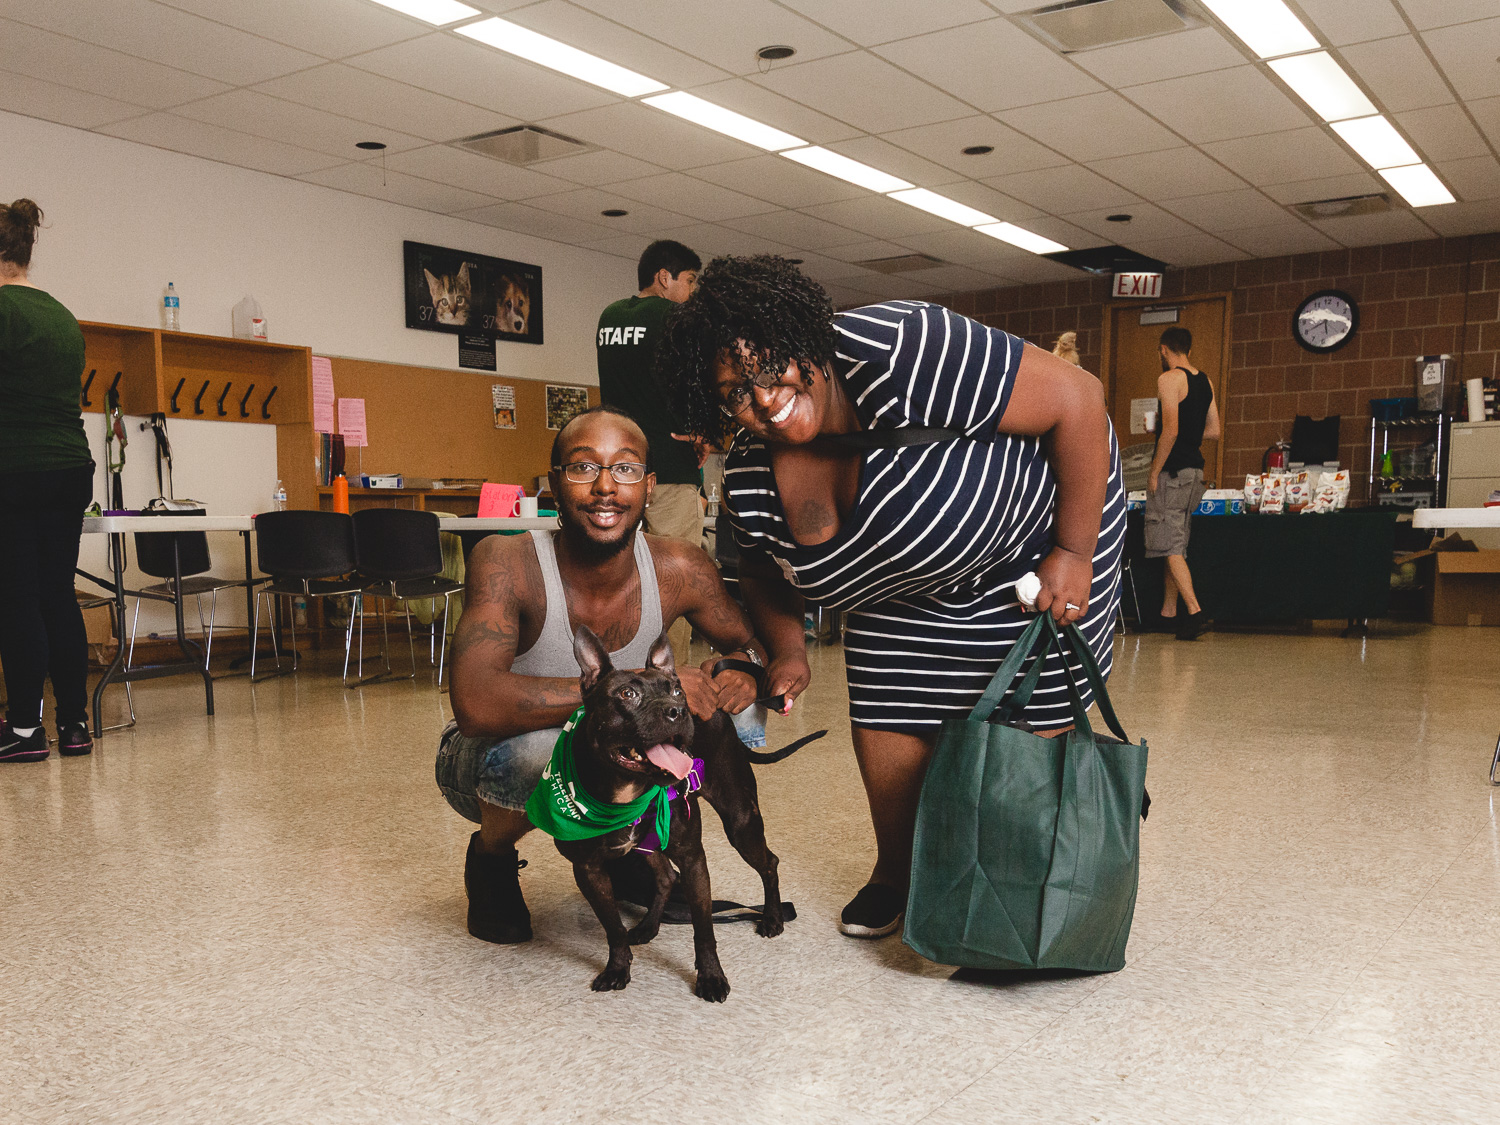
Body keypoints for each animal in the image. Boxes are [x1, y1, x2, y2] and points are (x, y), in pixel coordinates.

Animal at [558, 627, 792, 1002]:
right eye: (627, 693)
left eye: (678, 691)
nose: (678, 711)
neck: (626, 790)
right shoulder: (589, 871)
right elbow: (613, 929)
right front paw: (617, 968)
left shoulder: (693, 859)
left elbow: (704, 929)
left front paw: (711, 977)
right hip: (653, 844)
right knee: (666, 877)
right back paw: (649, 926)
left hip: (740, 821)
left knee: (769, 863)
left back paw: (772, 918)